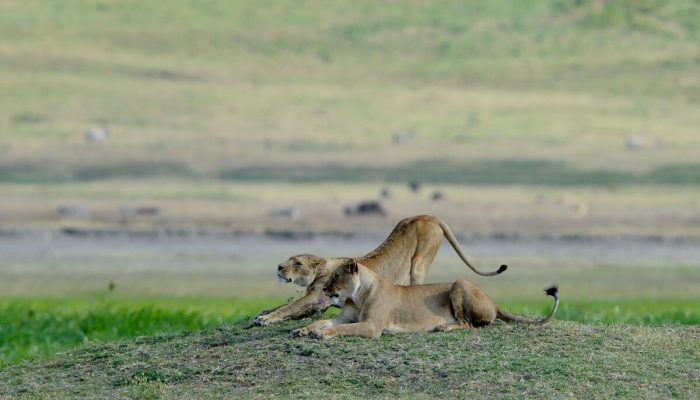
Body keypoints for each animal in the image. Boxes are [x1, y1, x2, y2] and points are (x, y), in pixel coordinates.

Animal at [254, 216, 506, 324]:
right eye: (288, 259)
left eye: (296, 262)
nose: (279, 267)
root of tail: (428, 215)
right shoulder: (317, 304)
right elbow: (281, 306)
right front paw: (263, 312)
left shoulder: (315, 300)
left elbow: (287, 308)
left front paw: (265, 319)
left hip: (419, 261)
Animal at [292, 258, 556, 340]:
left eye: (336, 276)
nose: (325, 288)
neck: (357, 296)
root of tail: (493, 300)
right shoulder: (347, 317)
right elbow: (321, 322)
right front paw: (304, 330)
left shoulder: (372, 326)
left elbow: (341, 329)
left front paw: (322, 334)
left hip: (460, 283)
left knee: (469, 323)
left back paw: (444, 327)